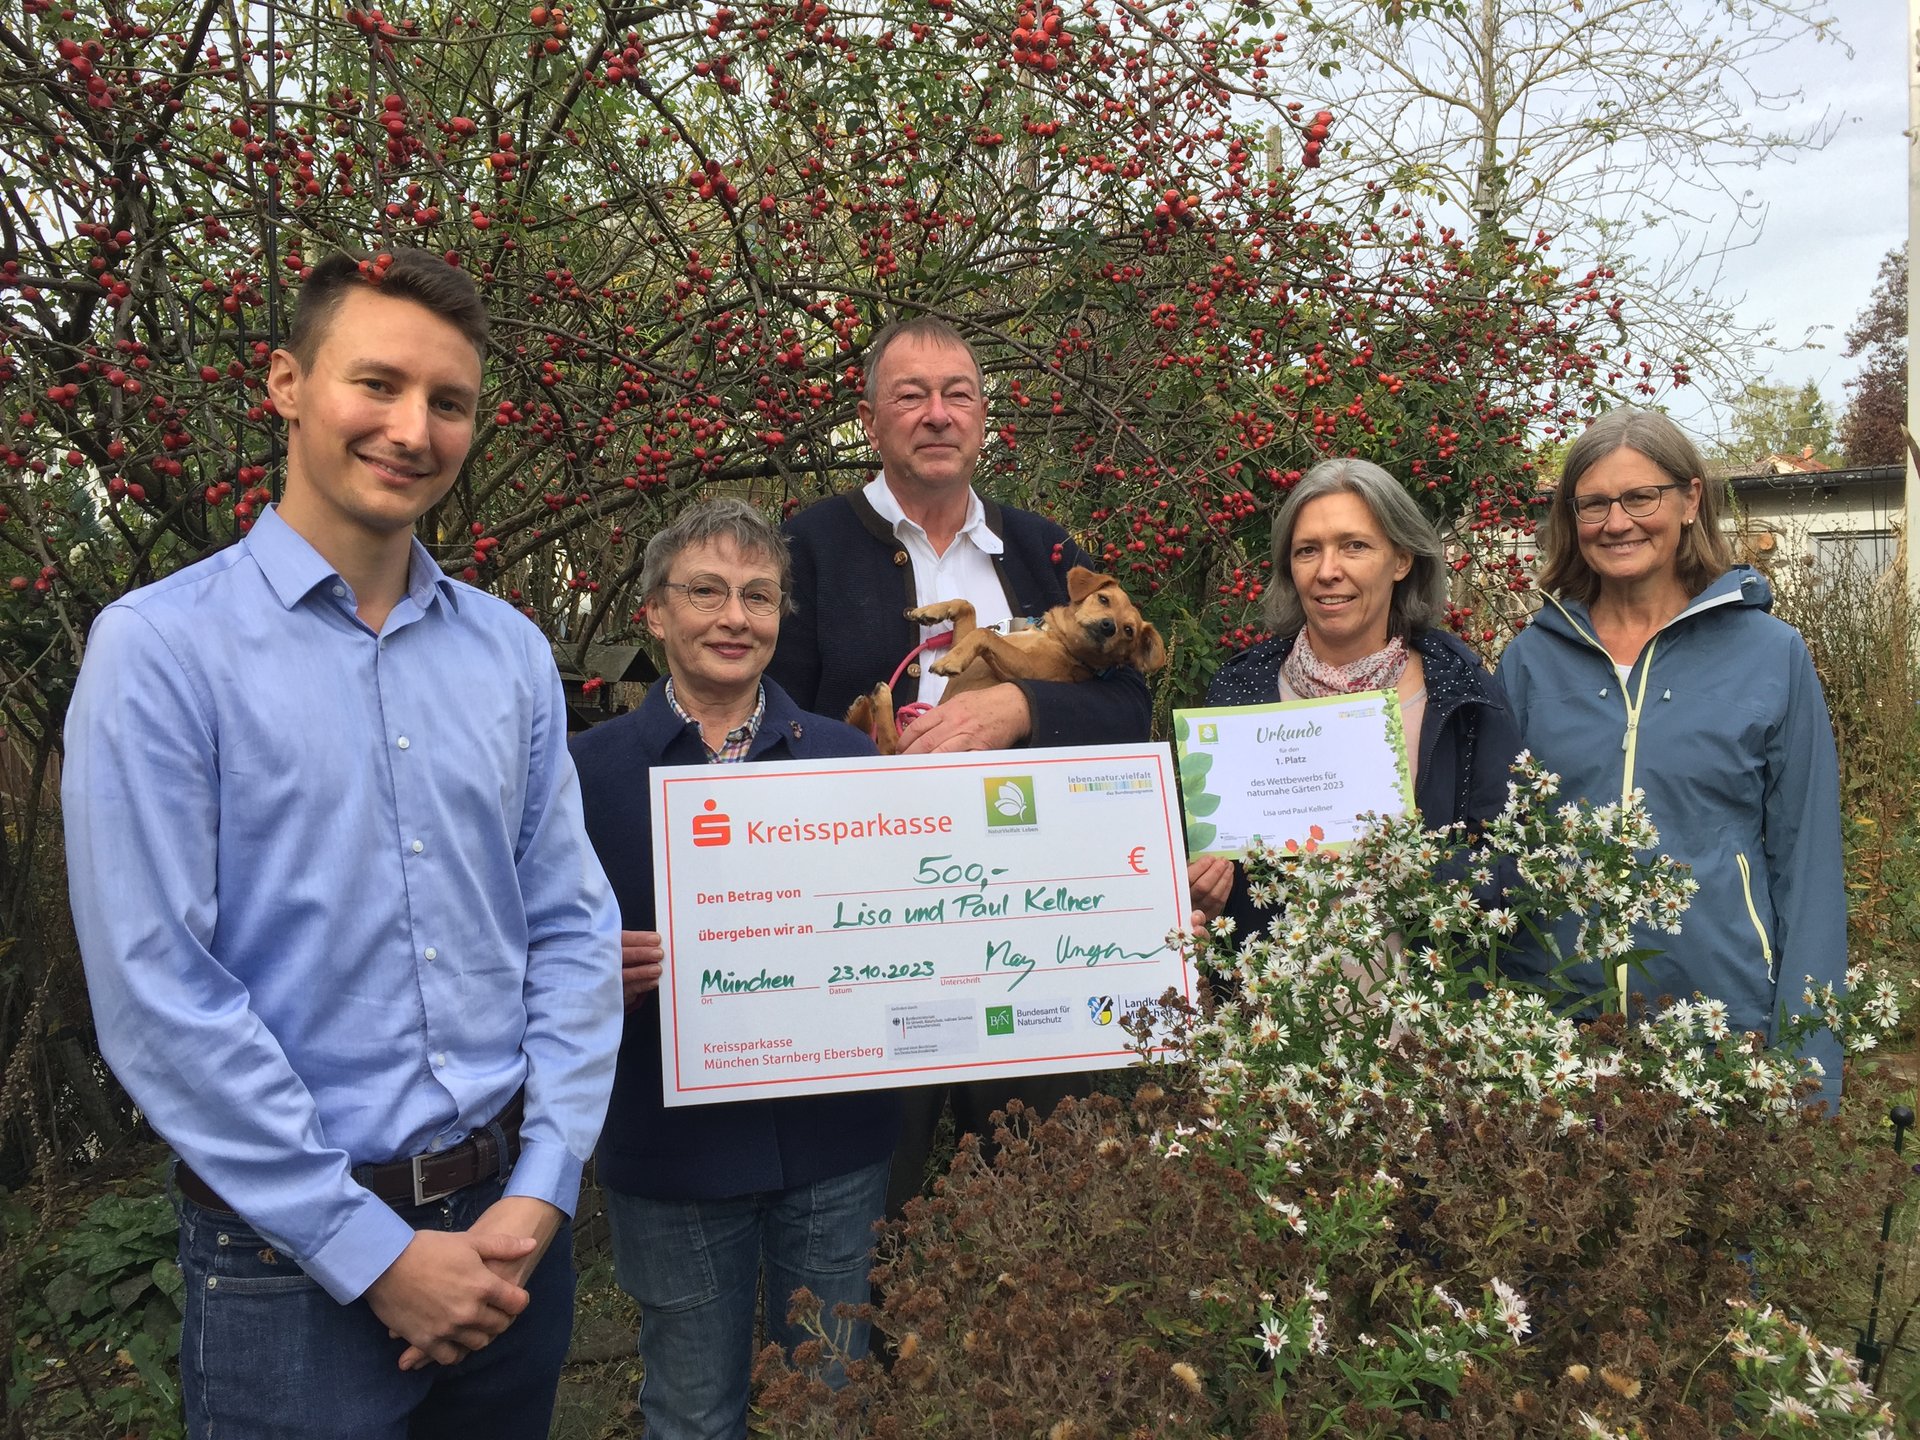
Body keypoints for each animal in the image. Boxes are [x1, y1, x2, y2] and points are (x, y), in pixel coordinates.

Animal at [844, 564, 1167, 756]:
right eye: (1103, 599)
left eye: (1129, 631)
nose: (1109, 627)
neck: (1056, 639)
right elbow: (967, 607)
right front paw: (932, 611)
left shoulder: (1024, 669)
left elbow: (985, 635)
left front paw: (951, 660)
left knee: (890, 746)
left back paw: (879, 700)